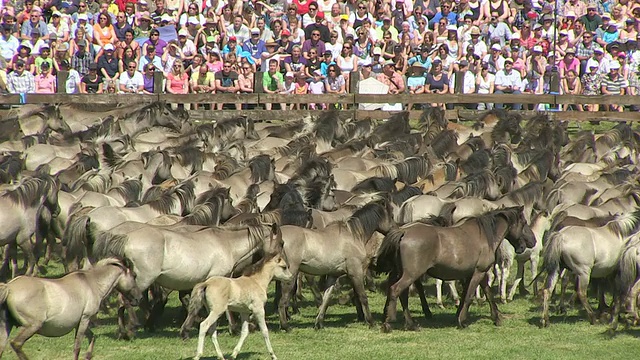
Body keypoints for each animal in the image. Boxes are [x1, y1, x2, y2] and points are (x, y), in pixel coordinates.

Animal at [0, 258, 141, 360]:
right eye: (134, 276)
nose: (138, 298)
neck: (92, 284)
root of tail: (9, 287)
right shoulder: (85, 319)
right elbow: (77, 347)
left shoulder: (79, 322)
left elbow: (92, 337)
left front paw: (88, 356)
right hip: (32, 326)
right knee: (16, 343)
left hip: (6, 326)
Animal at [278, 201, 398, 330]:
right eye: (391, 216)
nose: (396, 230)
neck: (353, 236)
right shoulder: (356, 272)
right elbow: (362, 297)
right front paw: (371, 322)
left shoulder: (333, 275)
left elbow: (327, 298)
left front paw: (319, 323)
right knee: (283, 300)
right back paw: (285, 325)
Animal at [380, 207, 536, 330]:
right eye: (524, 223)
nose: (533, 241)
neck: (485, 236)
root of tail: (404, 232)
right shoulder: (478, 273)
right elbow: (469, 296)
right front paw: (462, 321)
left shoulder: (476, 273)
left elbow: (486, 294)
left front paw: (496, 318)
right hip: (411, 275)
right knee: (395, 290)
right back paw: (389, 323)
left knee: (402, 295)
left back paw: (410, 324)